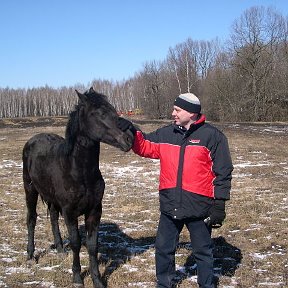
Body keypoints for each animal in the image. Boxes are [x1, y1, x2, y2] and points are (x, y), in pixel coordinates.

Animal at [22, 86, 134, 286]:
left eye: (113, 109)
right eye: (99, 113)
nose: (129, 139)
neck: (80, 171)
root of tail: (33, 140)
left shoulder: (95, 211)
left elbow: (92, 245)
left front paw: (97, 280)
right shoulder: (70, 212)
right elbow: (75, 243)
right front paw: (77, 278)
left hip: (52, 198)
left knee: (52, 217)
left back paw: (60, 250)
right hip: (30, 190)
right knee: (31, 219)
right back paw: (30, 255)